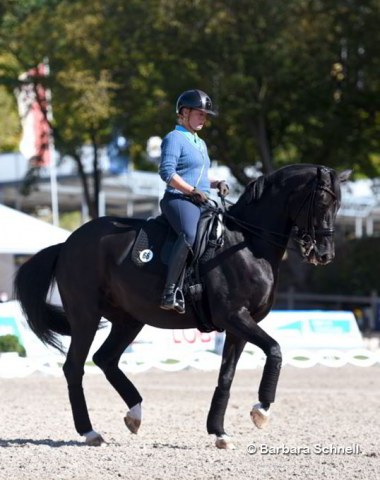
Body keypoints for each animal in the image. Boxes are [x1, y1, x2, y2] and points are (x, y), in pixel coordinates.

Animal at [13, 165, 350, 450]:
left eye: (339, 205)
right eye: (322, 200)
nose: (324, 254)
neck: (247, 243)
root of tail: (67, 244)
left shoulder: (239, 327)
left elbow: (227, 376)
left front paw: (219, 432)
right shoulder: (235, 317)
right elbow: (276, 350)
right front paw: (261, 411)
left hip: (128, 320)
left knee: (105, 359)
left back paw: (135, 414)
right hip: (86, 316)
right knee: (75, 367)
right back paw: (90, 431)